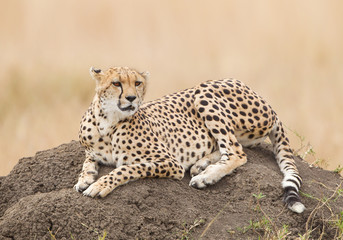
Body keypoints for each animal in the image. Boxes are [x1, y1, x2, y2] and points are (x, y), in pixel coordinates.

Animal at [75, 66, 306, 213]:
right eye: (116, 83)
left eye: (137, 83)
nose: (132, 98)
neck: (107, 122)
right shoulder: (92, 150)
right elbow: (88, 160)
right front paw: (84, 179)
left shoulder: (170, 162)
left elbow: (127, 168)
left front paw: (100, 185)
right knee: (237, 146)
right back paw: (201, 164)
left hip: (204, 92)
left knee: (236, 152)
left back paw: (205, 176)